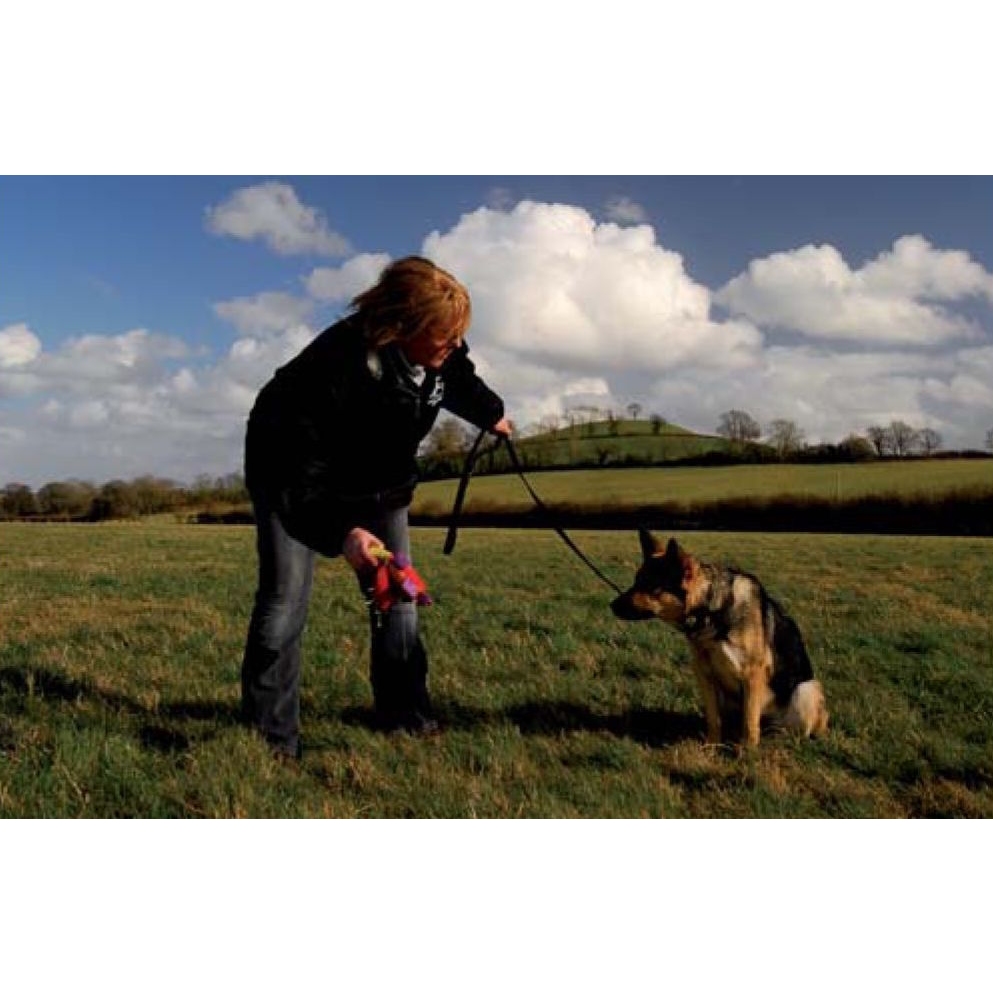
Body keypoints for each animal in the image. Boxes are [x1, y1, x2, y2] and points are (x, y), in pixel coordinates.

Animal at [611, 530, 828, 748]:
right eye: (636, 580)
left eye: (649, 585)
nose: (611, 605)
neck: (712, 609)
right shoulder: (705, 674)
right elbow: (714, 719)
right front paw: (711, 747)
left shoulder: (752, 675)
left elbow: (750, 722)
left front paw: (748, 752)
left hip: (806, 689)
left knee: (790, 730)